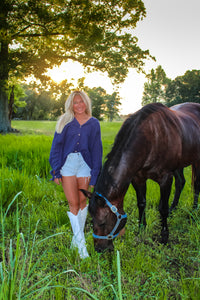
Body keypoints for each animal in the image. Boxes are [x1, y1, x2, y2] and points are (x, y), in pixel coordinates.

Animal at [82, 102, 200, 252]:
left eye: (103, 222)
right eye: (91, 221)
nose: (99, 249)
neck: (152, 138)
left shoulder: (165, 179)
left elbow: (163, 208)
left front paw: (164, 237)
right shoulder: (138, 178)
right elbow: (142, 203)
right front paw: (142, 229)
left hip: (196, 161)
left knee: (196, 185)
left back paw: (194, 210)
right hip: (179, 165)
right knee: (181, 182)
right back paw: (174, 208)